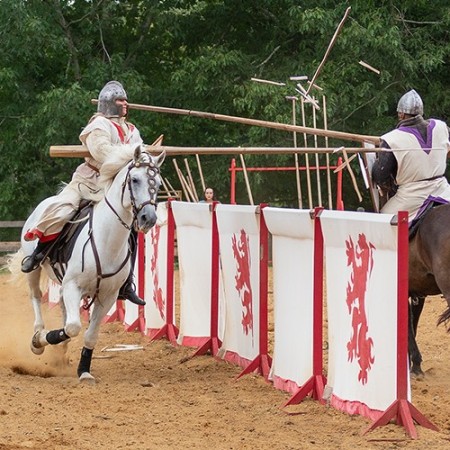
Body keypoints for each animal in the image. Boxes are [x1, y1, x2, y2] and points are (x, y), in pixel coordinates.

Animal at [19, 145, 165, 384]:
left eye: (159, 183)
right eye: (134, 179)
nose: (148, 218)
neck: (106, 241)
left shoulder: (107, 296)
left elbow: (89, 335)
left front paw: (84, 371)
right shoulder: (73, 286)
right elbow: (73, 327)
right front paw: (45, 339)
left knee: (61, 306)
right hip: (34, 270)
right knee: (36, 297)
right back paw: (38, 338)